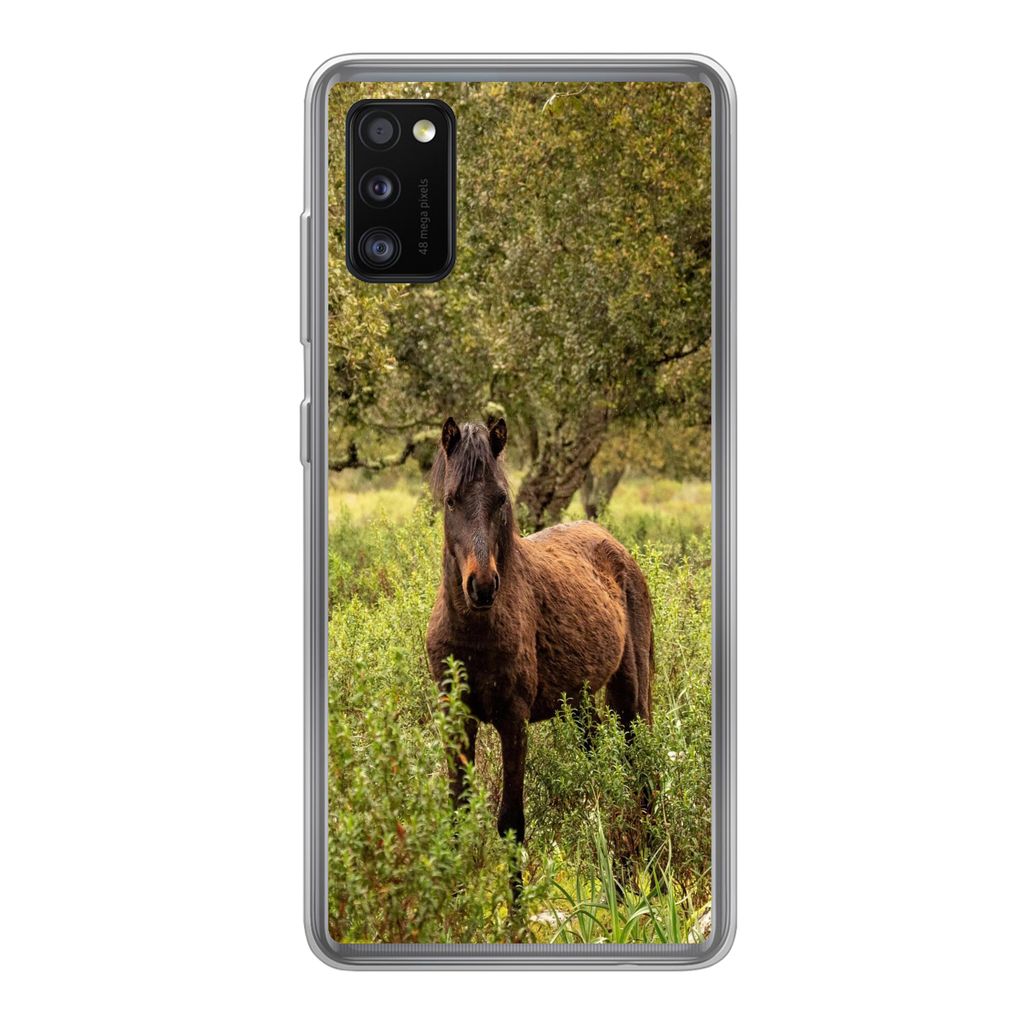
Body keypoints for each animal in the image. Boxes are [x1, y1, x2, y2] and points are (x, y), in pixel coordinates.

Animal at [426, 417, 654, 884]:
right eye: (451, 499)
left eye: (500, 498)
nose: (482, 586)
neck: (475, 633)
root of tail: (617, 548)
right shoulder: (457, 719)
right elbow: (456, 816)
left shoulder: (514, 721)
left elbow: (511, 823)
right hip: (581, 706)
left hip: (630, 698)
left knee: (642, 775)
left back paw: (650, 875)